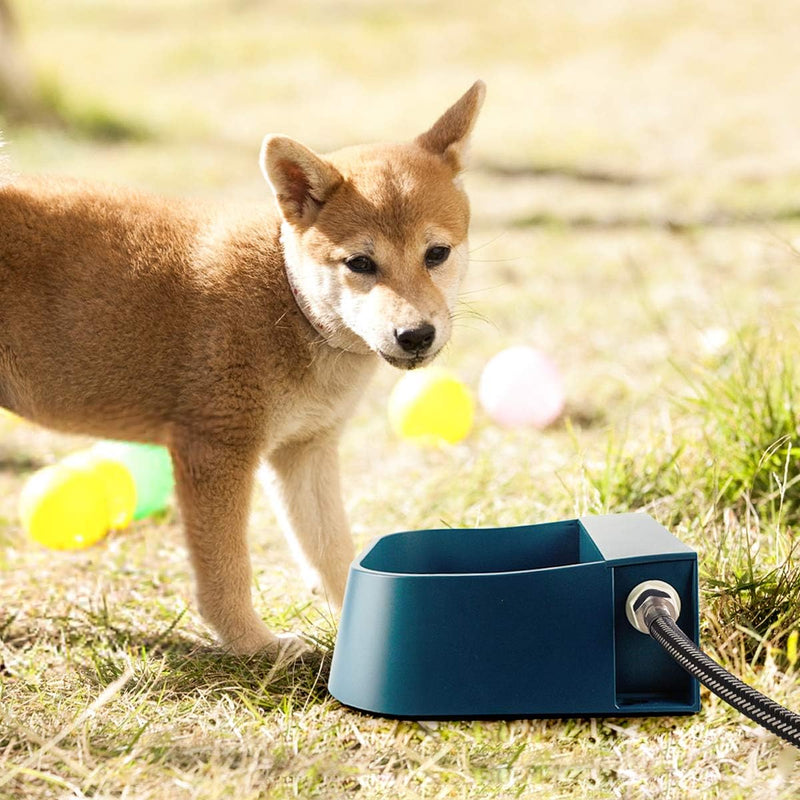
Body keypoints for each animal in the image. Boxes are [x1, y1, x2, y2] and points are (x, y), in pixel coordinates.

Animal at [0, 81, 484, 656]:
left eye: (437, 253)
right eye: (360, 264)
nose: (415, 335)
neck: (289, 300)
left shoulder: (305, 450)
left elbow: (332, 550)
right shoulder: (216, 447)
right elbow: (227, 573)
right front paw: (255, 647)